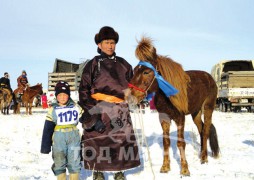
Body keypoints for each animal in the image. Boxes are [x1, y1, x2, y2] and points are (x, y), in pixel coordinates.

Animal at [126, 37, 219, 176]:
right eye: (135, 69)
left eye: (146, 72)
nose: (130, 95)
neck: (167, 94)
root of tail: (210, 78)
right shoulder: (164, 118)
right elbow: (166, 142)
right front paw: (165, 167)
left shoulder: (180, 118)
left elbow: (180, 143)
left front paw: (185, 169)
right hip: (195, 113)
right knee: (201, 130)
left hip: (208, 109)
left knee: (206, 131)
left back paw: (204, 158)